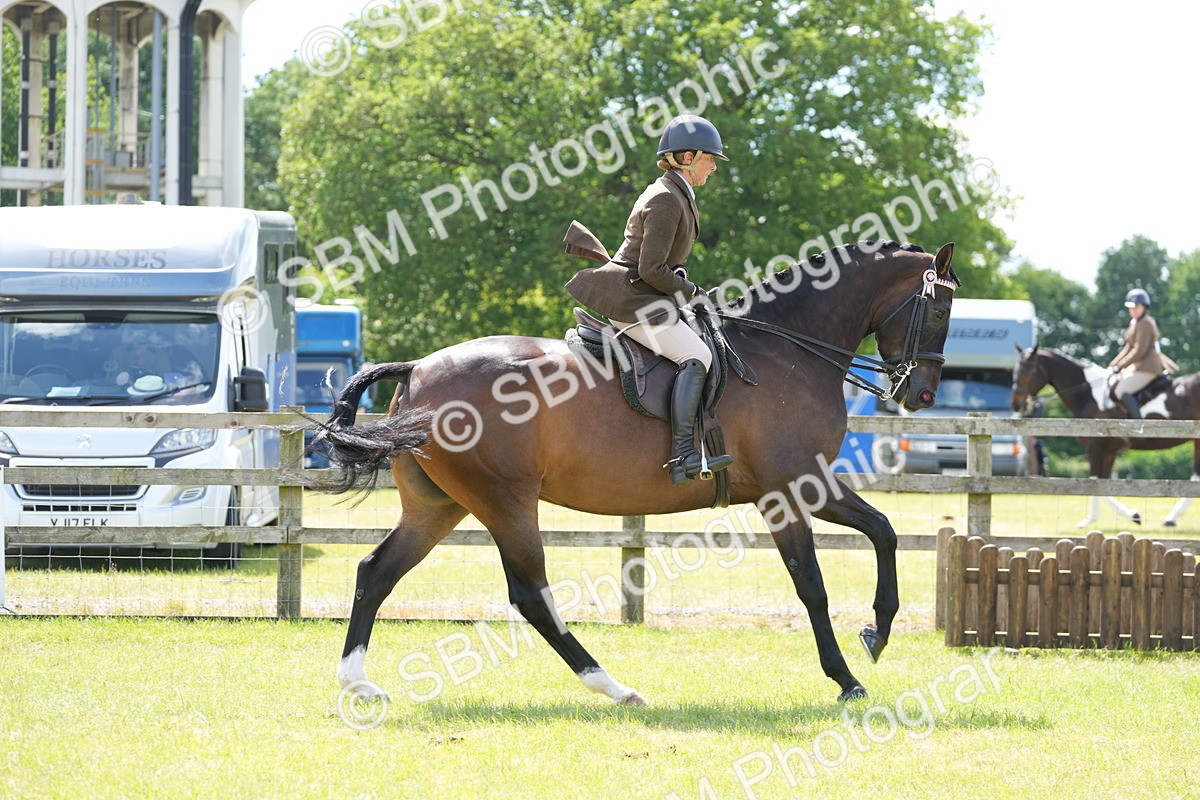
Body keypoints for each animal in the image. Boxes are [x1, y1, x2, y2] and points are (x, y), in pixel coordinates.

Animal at [315, 240, 959, 704]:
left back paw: (357, 682)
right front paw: (848, 676)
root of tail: (419, 368)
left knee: (376, 571)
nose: (923, 394)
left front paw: (877, 631)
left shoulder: (813, 485)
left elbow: (883, 531)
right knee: (530, 595)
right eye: (941, 309)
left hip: (440, 505)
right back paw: (613, 686)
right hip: (504, 501)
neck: (792, 352)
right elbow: (814, 585)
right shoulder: (790, 490)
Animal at [1010, 345, 1200, 527]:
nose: (1016, 404)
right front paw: (1131, 515)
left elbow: (1095, 482)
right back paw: (1171, 518)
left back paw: (1171, 518)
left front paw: (1095, 519)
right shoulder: (1109, 451)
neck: (1089, 395)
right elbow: (1105, 483)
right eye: (1016, 369)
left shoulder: (1096, 447)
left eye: (1030, 370)